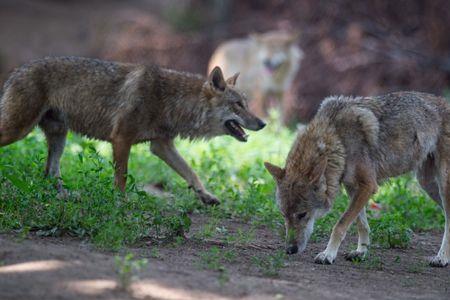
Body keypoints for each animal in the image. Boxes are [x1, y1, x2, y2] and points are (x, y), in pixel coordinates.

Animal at [0, 56, 266, 204]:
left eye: (246, 103)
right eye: (238, 104)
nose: (263, 123)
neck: (172, 100)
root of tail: (16, 70)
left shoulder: (161, 145)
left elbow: (191, 172)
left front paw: (206, 196)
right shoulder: (121, 139)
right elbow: (122, 177)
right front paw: (121, 203)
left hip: (59, 138)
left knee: (49, 173)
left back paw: (66, 196)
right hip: (18, 130)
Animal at [264, 92, 450, 268]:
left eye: (302, 214)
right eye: (283, 215)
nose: (290, 250)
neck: (338, 139)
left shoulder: (367, 186)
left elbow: (340, 225)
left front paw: (328, 254)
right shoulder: (353, 187)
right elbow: (361, 224)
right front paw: (361, 252)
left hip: (443, 186)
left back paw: (441, 258)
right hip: (427, 185)